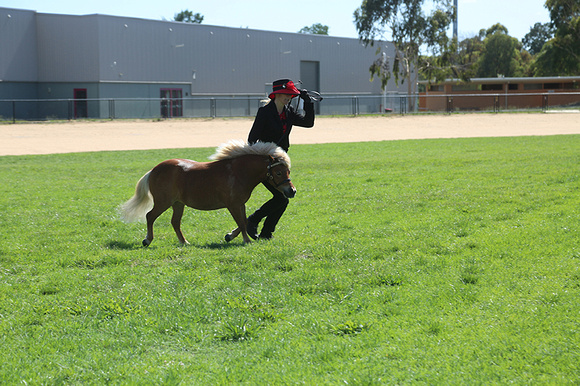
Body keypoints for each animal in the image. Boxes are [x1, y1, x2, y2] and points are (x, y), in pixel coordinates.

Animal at [121, 140, 294, 246]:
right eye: (278, 172)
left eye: (288, 171)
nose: (292, 191)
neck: (238, 172)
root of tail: (153, 170)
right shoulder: (232, 205)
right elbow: (241, 222)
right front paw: (247, 240)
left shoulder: (240, 204)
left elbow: (244, 221)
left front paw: (230, 236)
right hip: (163, 202)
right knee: (150, 216)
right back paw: (147, 240)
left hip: (178, 204)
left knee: (175, 222)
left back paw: (184, 242)